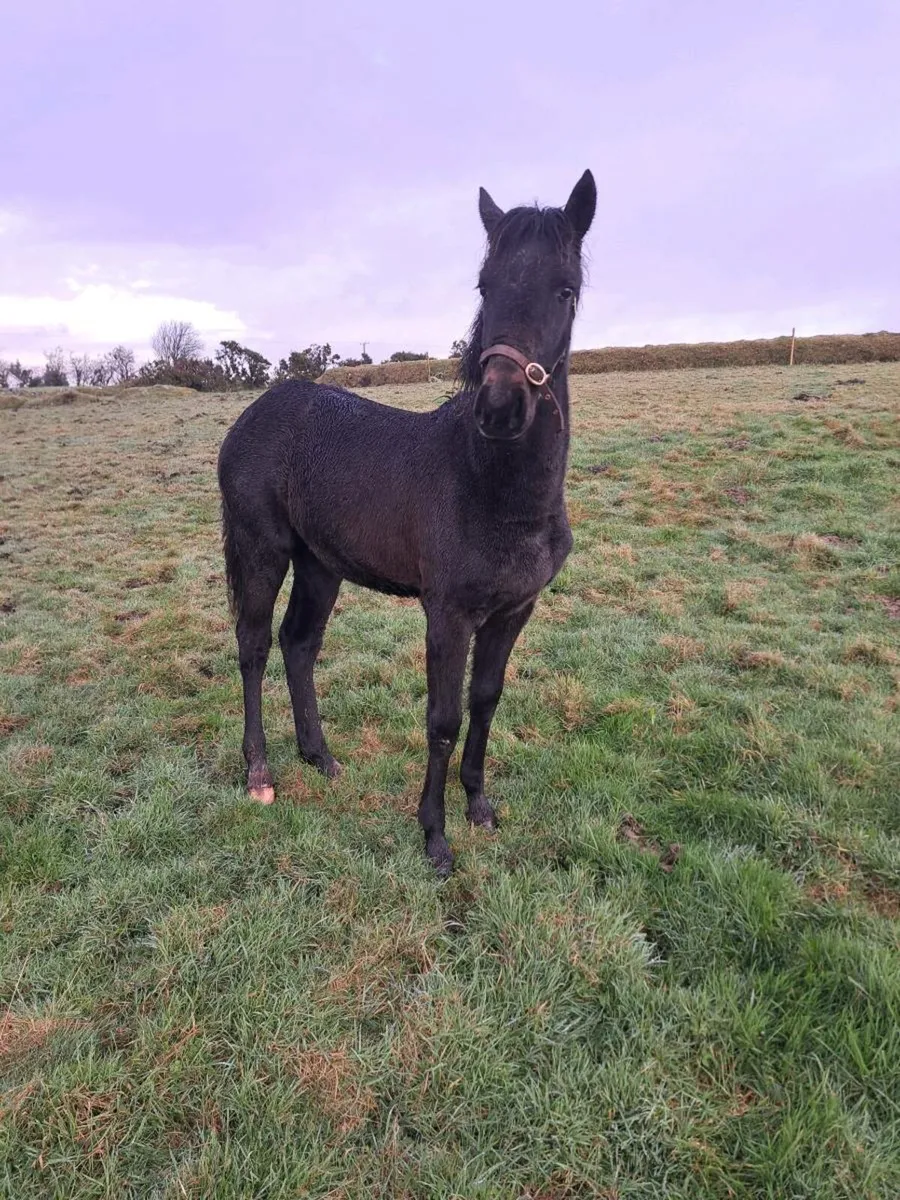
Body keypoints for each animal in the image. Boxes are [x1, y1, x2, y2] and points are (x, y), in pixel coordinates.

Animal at [218, 170, 596, 875]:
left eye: (566, 289)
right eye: (484, 286)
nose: (499, 407)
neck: (491, 484)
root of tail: (255, 412)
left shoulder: (514, 609)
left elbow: (485, 701)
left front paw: (479, 807)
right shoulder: (448, 611)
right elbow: (443, 718)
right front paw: (435, 838)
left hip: (320, 564)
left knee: (298, 644)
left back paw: (321, 757)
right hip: (262, 550)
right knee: (253, 646)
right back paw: (260, 773)